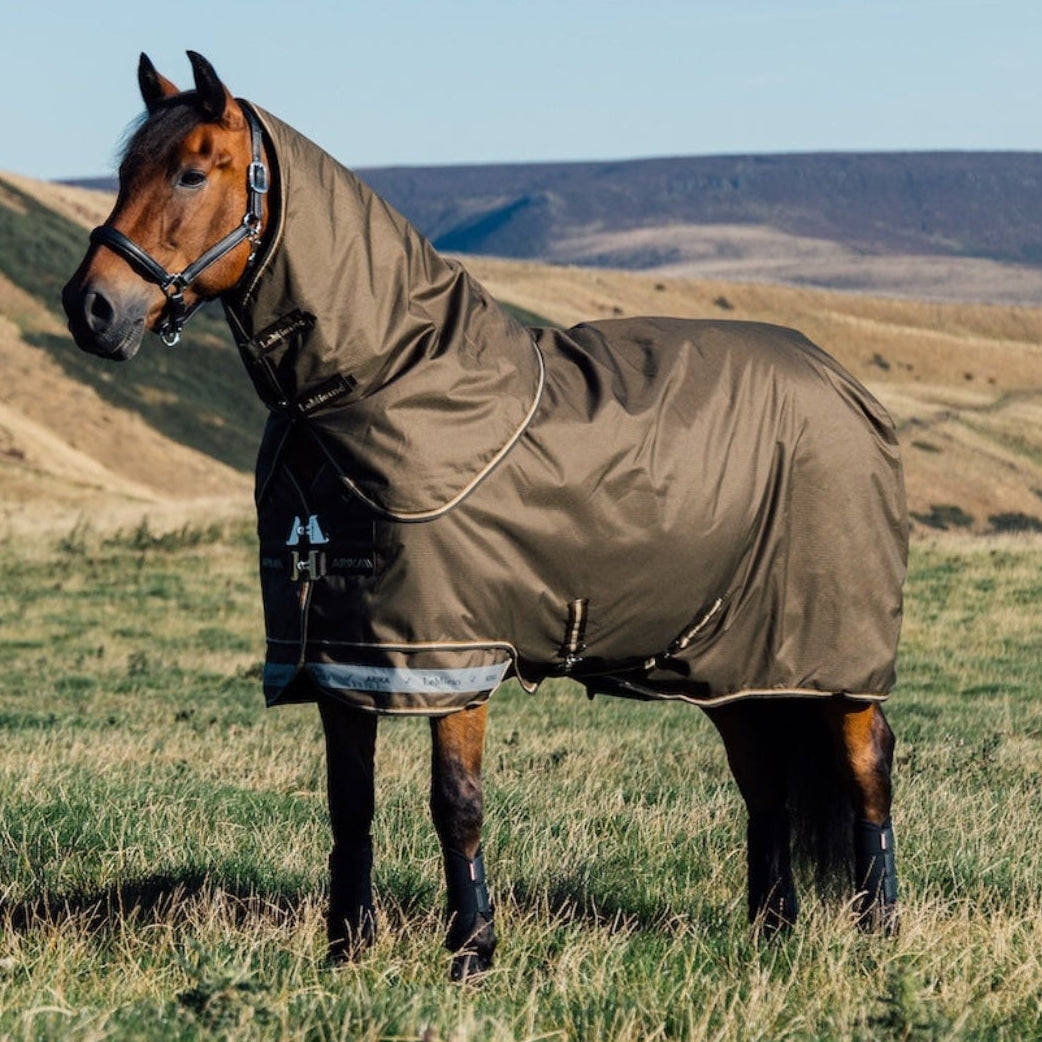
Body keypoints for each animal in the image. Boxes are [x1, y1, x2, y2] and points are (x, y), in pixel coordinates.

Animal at [62, 52, 908, 981]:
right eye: (124, 171)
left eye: (191, 171)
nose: (90, 308)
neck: (388, 380)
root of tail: (842, 384)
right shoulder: (339, 659)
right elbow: (349, 807)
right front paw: (345, 950)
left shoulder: (453, 655)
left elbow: (455, 804)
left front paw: (471, 950)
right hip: (736, 659)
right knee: (766, 782)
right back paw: (772, 927)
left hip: (835, 653)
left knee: (867, 766)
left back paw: (879, 928)